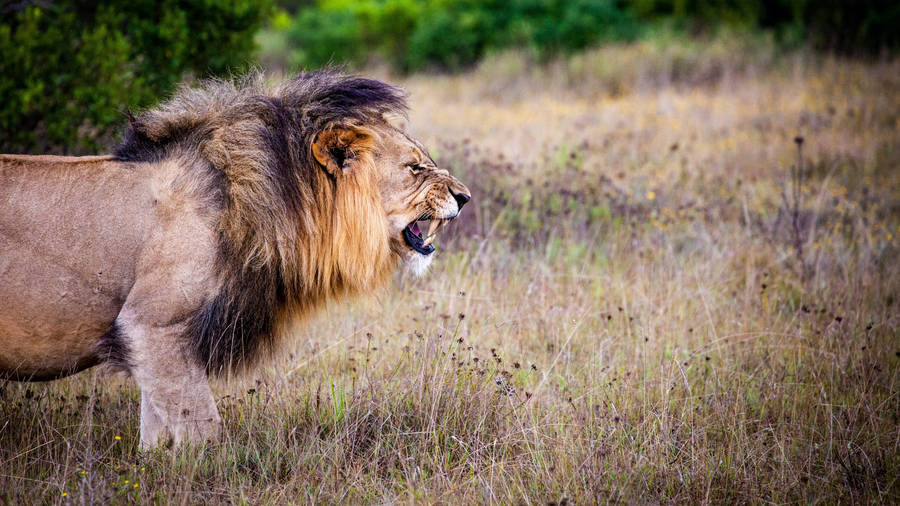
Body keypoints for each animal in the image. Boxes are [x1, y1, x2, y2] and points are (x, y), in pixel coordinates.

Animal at [0, 69, 470, 448]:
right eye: (414, 168)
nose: (465, 197)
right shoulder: (151, 325)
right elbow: (201, 428)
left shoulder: (154, 343)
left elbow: (156, 432)